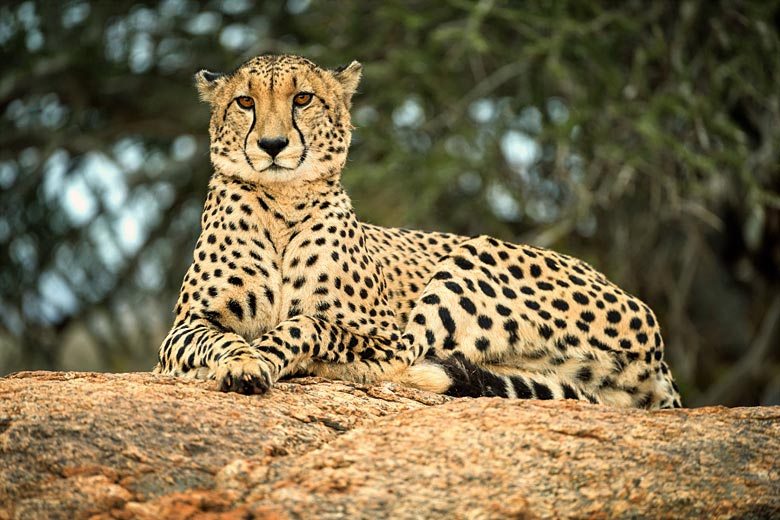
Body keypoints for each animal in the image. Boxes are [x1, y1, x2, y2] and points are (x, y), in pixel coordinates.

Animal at [157, 53, 684, 410]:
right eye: (245, 102)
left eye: (302, 98)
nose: (271, 144)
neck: (283, 203)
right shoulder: (181, 331)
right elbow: (218, 340)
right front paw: (242, 362)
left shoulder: (381, 333)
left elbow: (311, 324)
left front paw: (268, 355)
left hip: (472, 259)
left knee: (411, 361)